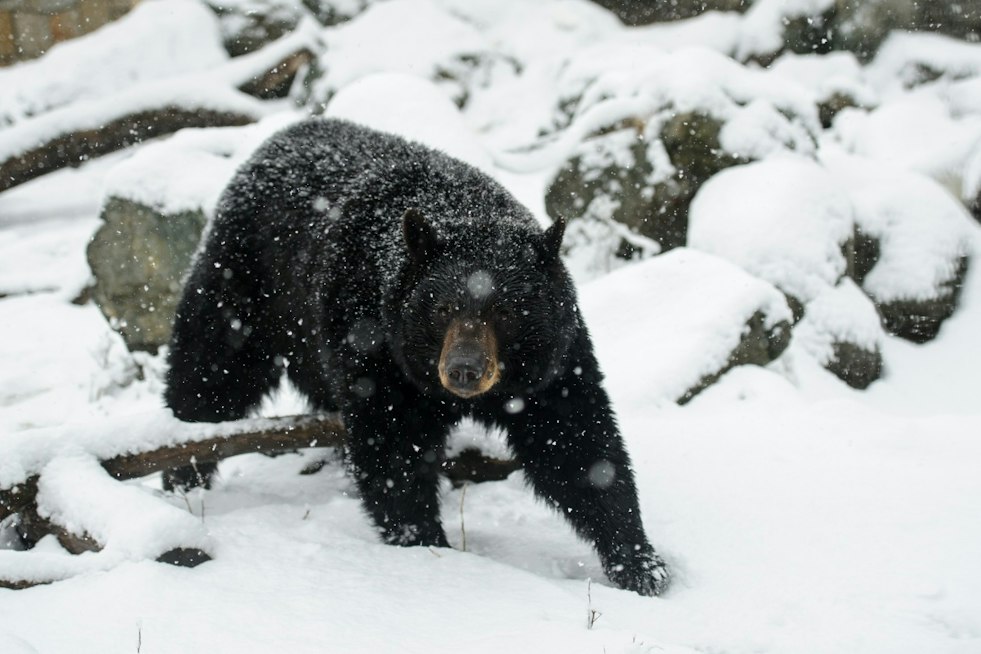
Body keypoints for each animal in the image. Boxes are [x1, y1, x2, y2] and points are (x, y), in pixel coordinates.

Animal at [163, 118, 670, 596]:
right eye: (442, 307)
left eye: (505, 311)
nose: (464, 370)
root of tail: (279, 138)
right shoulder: (375, 346)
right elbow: (392, 447)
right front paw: (425, 545)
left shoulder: (552, 359)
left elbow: (577, 443)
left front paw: (641, 563)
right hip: (244, 283)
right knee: (210, 373)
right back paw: (181, 478)